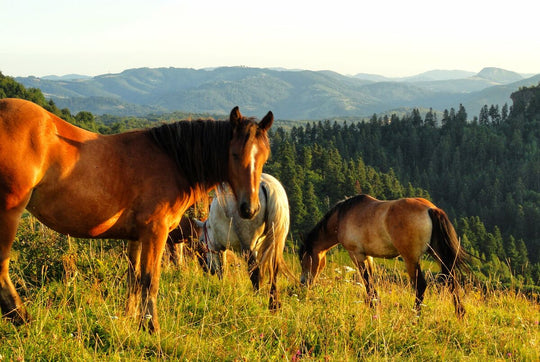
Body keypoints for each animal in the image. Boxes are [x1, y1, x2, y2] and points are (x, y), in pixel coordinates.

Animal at [0, 97, 272, 332]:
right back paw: (23, 319)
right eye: (234, 154)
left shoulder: (136, 237)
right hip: (8, 215)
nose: (249, 208)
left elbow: (134, 277)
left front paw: (130, 320)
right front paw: (151, 327)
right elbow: (150, 280)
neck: (173, 161)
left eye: (264, 157)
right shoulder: (155, 233)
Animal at [193, 174, 288, 310]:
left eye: (201, 242)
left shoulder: (220, 247)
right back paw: (273, 304)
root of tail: (266, 183)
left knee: (254, 272)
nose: (206, 269)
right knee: (274, 269)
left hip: (248, 245)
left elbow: (222, 268)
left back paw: (257, 297)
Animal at [300, 195, 468, 316]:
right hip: (438, 255)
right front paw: (374, 303)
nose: (303, 283)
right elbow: (371, 280)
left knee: (420, 285)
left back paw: (415, 316)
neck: (342, 216)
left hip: (411, 258)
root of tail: (430, 209)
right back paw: (459, 313)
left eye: (303, 261)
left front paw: (372, 305)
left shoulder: (356, 254)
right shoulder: (368, 256)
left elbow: (367, 280)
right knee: (451, 280)